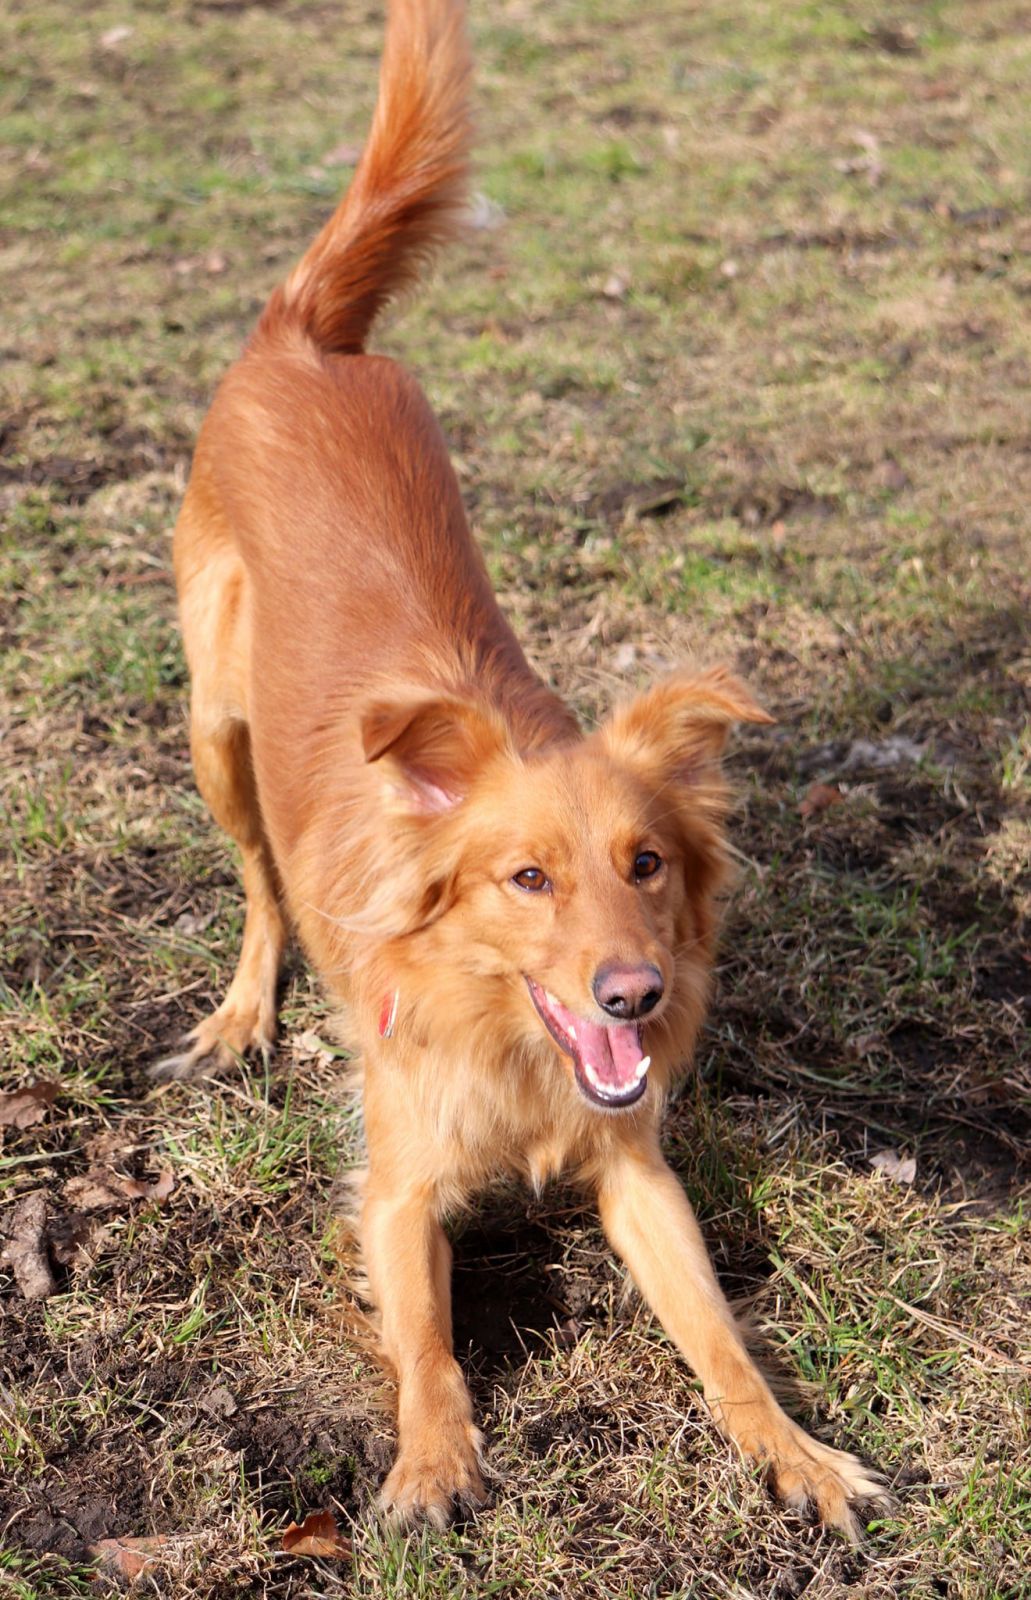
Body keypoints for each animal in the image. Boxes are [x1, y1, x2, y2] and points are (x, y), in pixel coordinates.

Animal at [165, 0, 883, 1536]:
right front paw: (434, 1463)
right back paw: (244, 1013)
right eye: (525, 879)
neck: (501, 1030)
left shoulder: (634, 1162)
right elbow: (428, 1342)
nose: (635, 994)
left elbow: (718, 1335)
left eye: (646, 864)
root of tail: (305, 336)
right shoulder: (391, 1191)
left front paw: (794, 1452)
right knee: (256, 883)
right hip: (213, 726)